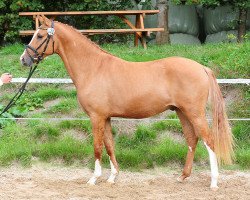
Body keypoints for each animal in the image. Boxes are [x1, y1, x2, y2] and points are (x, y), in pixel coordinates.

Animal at [20, 15, 234, 189]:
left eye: (40, 36)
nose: (24, 59)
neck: (93, 68)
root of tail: (202, 68)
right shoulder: (105, 117)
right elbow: (109, 145)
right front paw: (112, 177)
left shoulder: (96, 117)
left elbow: (97, 146)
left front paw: (94, 178)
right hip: (181, 112)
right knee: (192, 140)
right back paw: (182, 177)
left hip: (194, 112)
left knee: (209, 140)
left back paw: (214, 182)